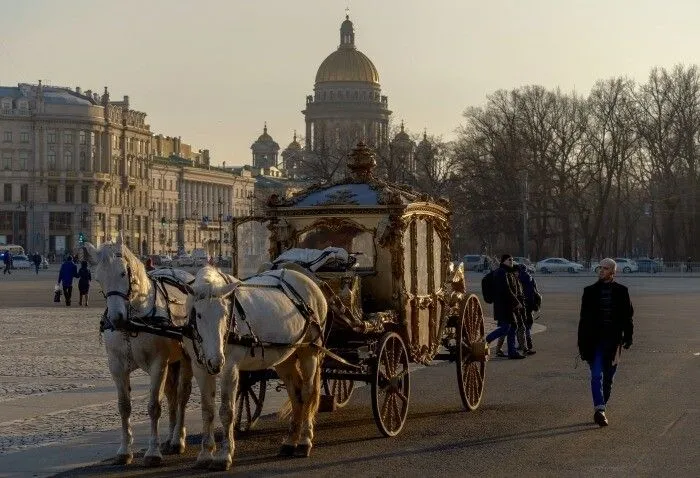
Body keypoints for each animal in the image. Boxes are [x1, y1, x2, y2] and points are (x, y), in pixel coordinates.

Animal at [82, 239, 194, 466]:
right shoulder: (116, 366)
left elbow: (153, 406)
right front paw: (124, 451)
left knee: (182, 395)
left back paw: (178, 439)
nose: (116, 318)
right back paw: (170, 439)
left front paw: (152, 453)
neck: (133, 321)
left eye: (123, 273)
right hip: (172, 363)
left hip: (186, 359)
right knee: (172, 396)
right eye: (98, 278)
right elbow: (124, 406)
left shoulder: (158, 364)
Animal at [186, 266, 328, 470]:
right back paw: (290, 441)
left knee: (308, 392)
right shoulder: (200, 369)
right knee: (296, 394)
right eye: (198, 315)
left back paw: (304, 441)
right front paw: (205, 454)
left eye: (225, 314)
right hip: (285, 356)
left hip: (310, 351)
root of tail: (309, 281)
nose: (216, 361)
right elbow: (207, 411)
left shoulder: (230, 369)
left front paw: (224, 455)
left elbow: (227, 411)